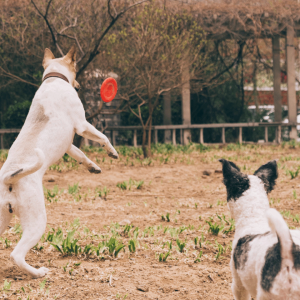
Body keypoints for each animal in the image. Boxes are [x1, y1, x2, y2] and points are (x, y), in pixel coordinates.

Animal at [0, 47, 119, 278]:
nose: (79, 86)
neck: (53, 79)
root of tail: (9, 178)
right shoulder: (82, 125)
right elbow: (103, 137)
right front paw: (112, 152)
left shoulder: (68, 144)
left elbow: (80, 155)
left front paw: (92, 166)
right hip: (37, 221)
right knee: (16, 255)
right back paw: (38, 272)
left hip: (2, 219)